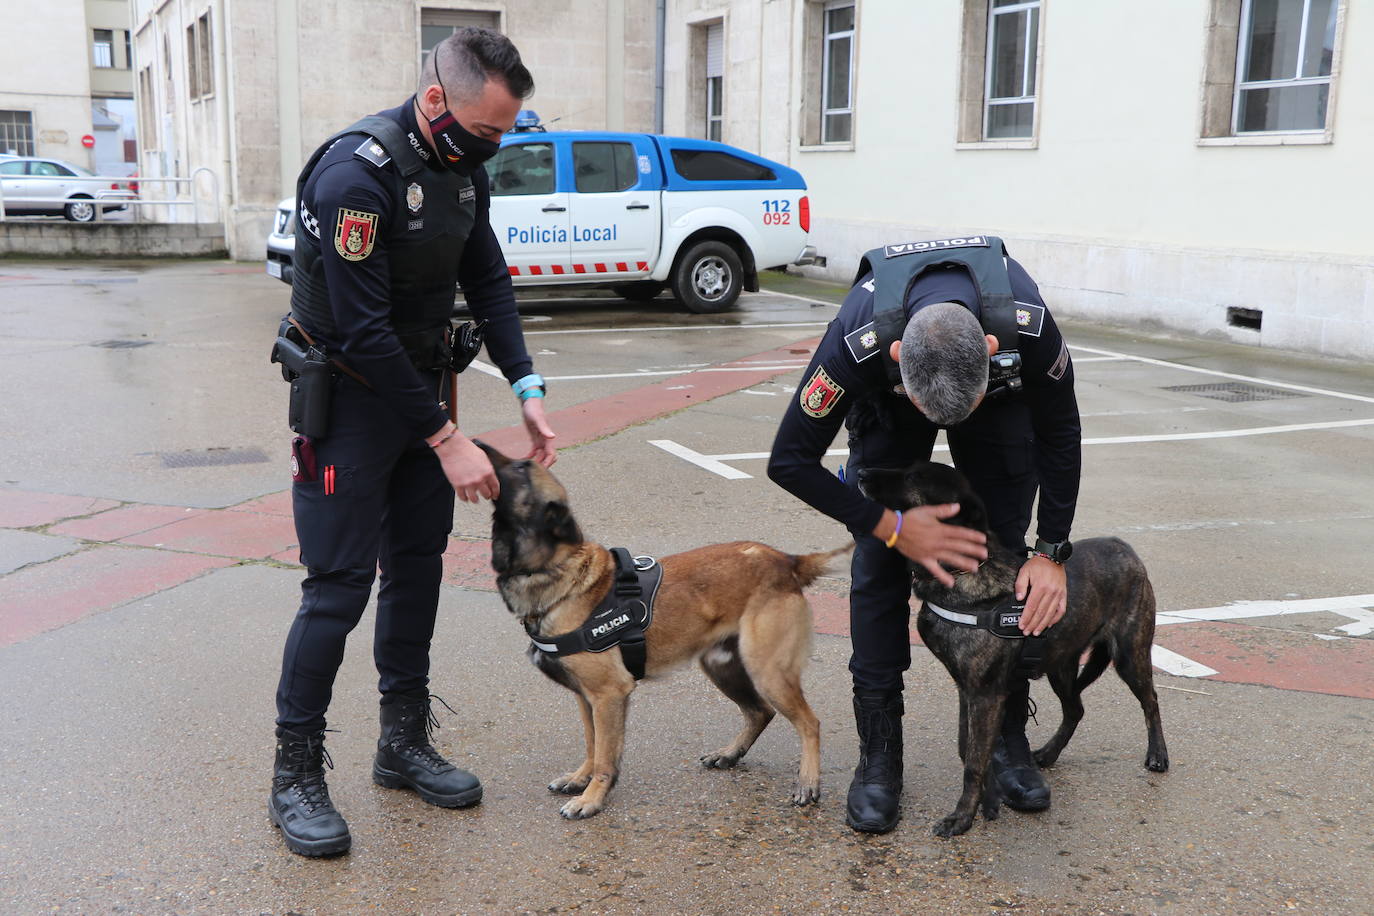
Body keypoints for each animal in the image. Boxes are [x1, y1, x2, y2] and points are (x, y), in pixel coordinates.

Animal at [478, 439, 851, 818]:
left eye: (522, 467)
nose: (478, 444)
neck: (562, 576)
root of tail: (787, 561)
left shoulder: (609, 694)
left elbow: (605, 757)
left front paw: (592, 798)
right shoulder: (587, 697)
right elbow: (593, 745)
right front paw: (581, 779)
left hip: (768, 671)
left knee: (809, 723)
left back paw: (808, 783)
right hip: (722, 666)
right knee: (760, 711)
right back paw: (730, 754)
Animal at [857, 458, 1170, 840]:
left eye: (915, 477)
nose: (860, 474)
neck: (964, 571)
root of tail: (1126, 548)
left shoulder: (985, 695)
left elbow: (974, 761)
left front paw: (962, 817)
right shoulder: (968, 690)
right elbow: (967, 747)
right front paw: (989, 800)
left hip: (1128, 654)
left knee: (1150, 700)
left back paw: (1157, 755)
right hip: (1060, 666)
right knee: (1075, 709)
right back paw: (1049, 753)